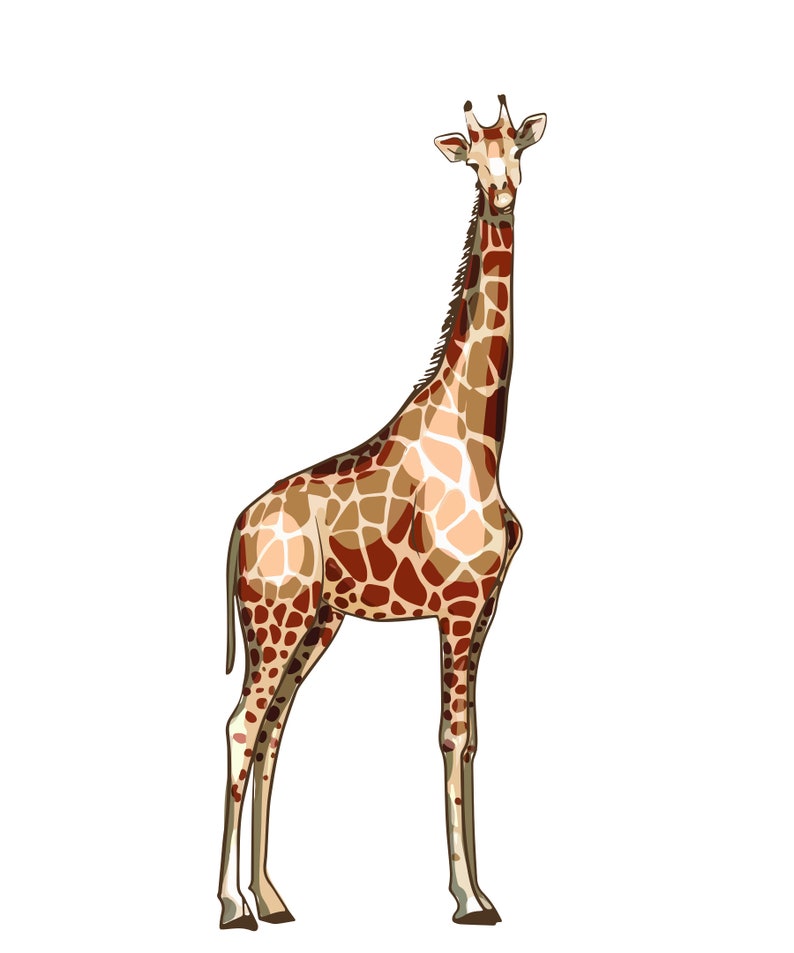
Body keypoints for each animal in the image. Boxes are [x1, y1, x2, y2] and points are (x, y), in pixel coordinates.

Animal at [218, 95, 546, 929]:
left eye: (518, 149)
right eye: (473, 159)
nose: (503, 193)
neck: (482, 435)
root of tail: (237, 527)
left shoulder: (487, 603)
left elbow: (472, 737)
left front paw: (481, 889)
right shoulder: (458, 603)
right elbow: (449, 735)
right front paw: (468, 899)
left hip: (314, 620)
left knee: (272, 731)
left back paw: (273, 896)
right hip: (276, 616)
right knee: (241, 725)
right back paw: (231, 903)